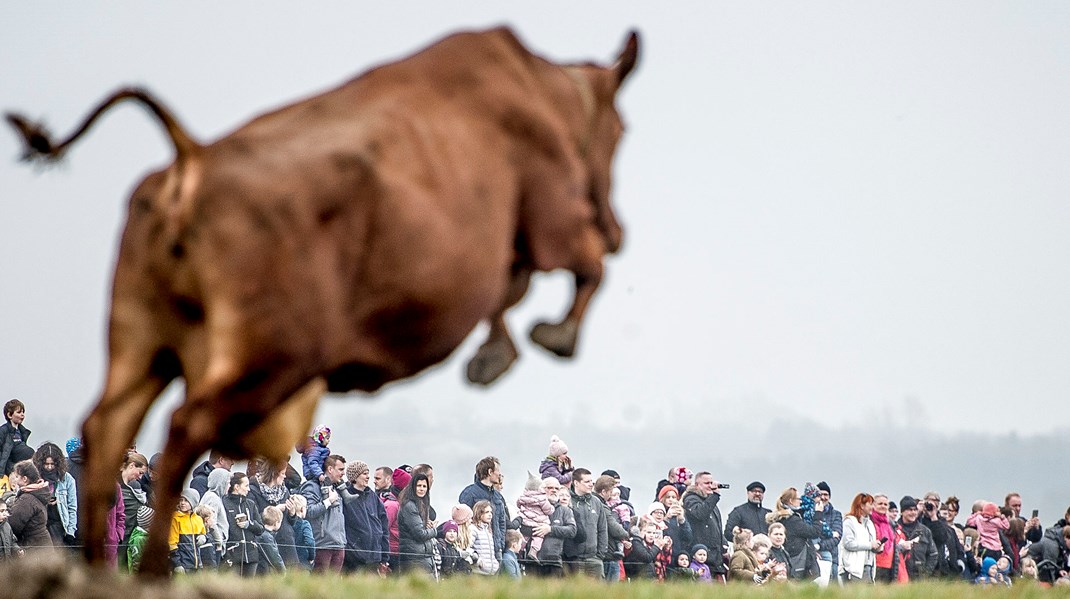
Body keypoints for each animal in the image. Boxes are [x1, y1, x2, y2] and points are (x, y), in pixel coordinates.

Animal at [4, 26, 637, 577]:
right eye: (620, 130)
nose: (615, 229)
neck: (539, 91)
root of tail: (193, 159)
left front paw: (494, 353)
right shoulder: (554, 216)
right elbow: (587, 271)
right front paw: (548, 337)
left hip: (142, 340)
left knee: (109, 427)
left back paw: (98, 573)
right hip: (272, 355)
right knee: (183, 429)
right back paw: (151, 572)